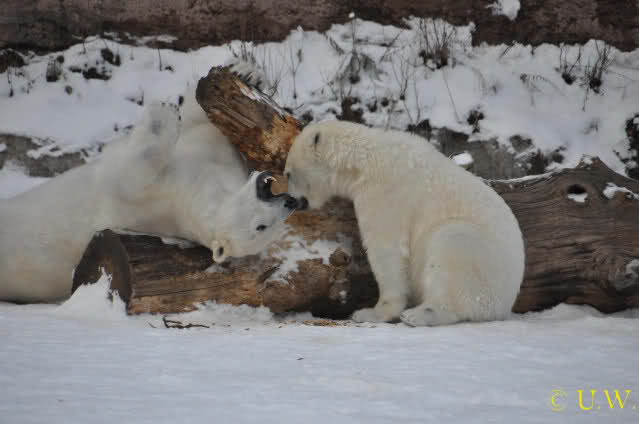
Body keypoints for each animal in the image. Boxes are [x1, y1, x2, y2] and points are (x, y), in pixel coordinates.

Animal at [0, 95, 298, 303]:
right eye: (262, 226)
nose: (289, 203)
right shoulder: (198, 171)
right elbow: (202, 128)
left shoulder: (153, 201)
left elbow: (132, 175)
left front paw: (164, 112)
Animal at [284, 120, 525, 326]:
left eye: (288, 174)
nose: (291, 201)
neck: (364, 162)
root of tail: (508, 300)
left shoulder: (386, 194)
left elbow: (386, 251)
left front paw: (371, 312)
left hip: (484, 263)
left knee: (451, 245)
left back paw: (419, 314)